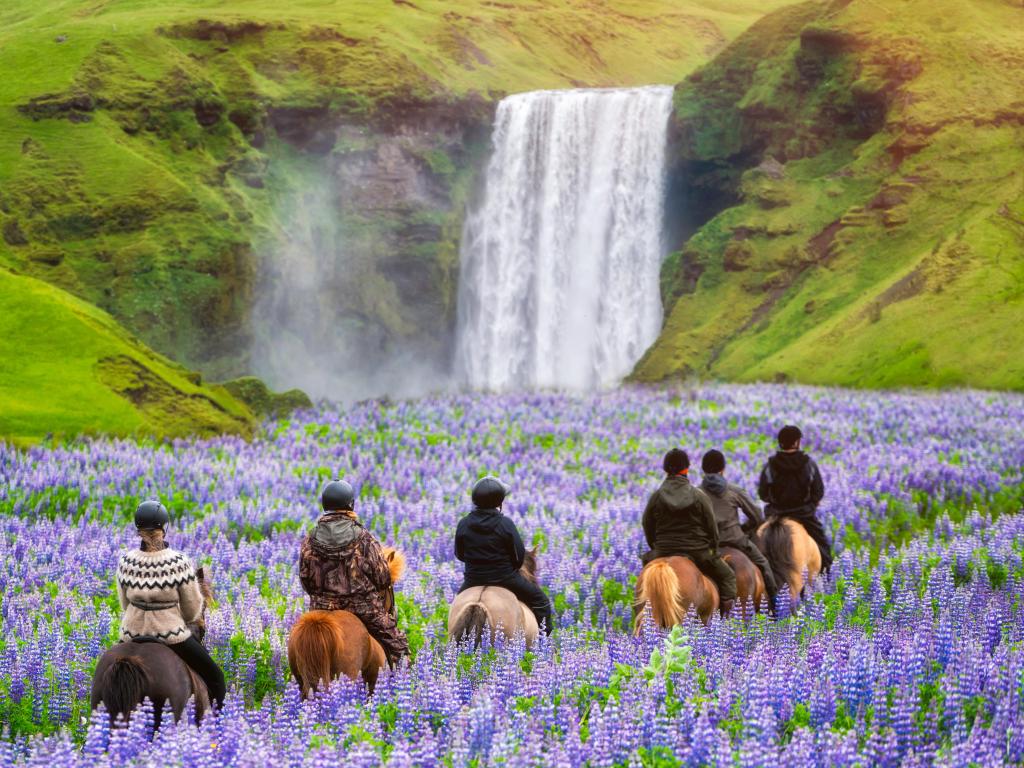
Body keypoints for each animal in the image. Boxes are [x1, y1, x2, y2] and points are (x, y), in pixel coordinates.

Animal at [286, 544, 405, 700]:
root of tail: (318, 623)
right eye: (390, 586)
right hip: (349, 674)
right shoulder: (373, 680)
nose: (393, 614)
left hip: (301, 678)